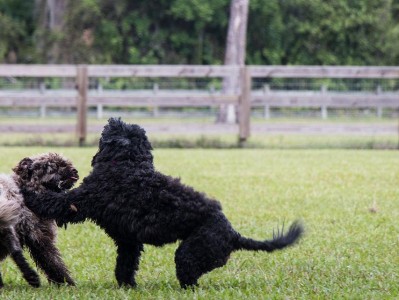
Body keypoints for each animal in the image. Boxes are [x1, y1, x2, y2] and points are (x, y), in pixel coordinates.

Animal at [22, 118, 304, 288]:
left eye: (115, 129)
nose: (114, 119)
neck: (128, 163)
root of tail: (234, 234)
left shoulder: (78, 201)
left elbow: (51, 201)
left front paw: (26, 189)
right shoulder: (129, 241)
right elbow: (125, 264)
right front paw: (126, 286)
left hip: (189, 253)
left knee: (190, 279)